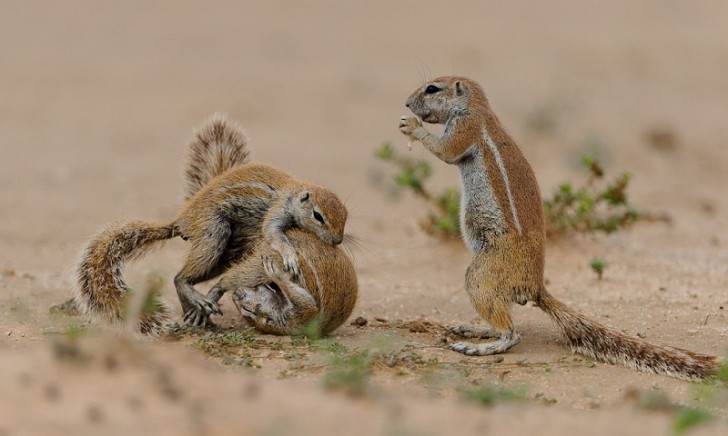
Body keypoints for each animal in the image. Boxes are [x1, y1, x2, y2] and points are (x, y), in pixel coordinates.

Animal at [73, 112, 350, 334]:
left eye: (346, 215)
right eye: (318, 216)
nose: (337, 240)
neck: (295, 191)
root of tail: (181, 220)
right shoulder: (278, 209)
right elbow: (273, 232)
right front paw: (289, 255)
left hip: (226, 253)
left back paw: (197, 311)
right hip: (213, 232)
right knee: (180, 277)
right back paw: (197, 301)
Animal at [400, 76, 720, 380]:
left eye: (431, 89)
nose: (406, 103)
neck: (476, 109)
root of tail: (535, 287)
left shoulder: (465, 129)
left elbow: (445, 150)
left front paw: (412, 127)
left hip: (483, 275)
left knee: (512, 334)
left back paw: (480, 346)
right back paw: (475, 329)